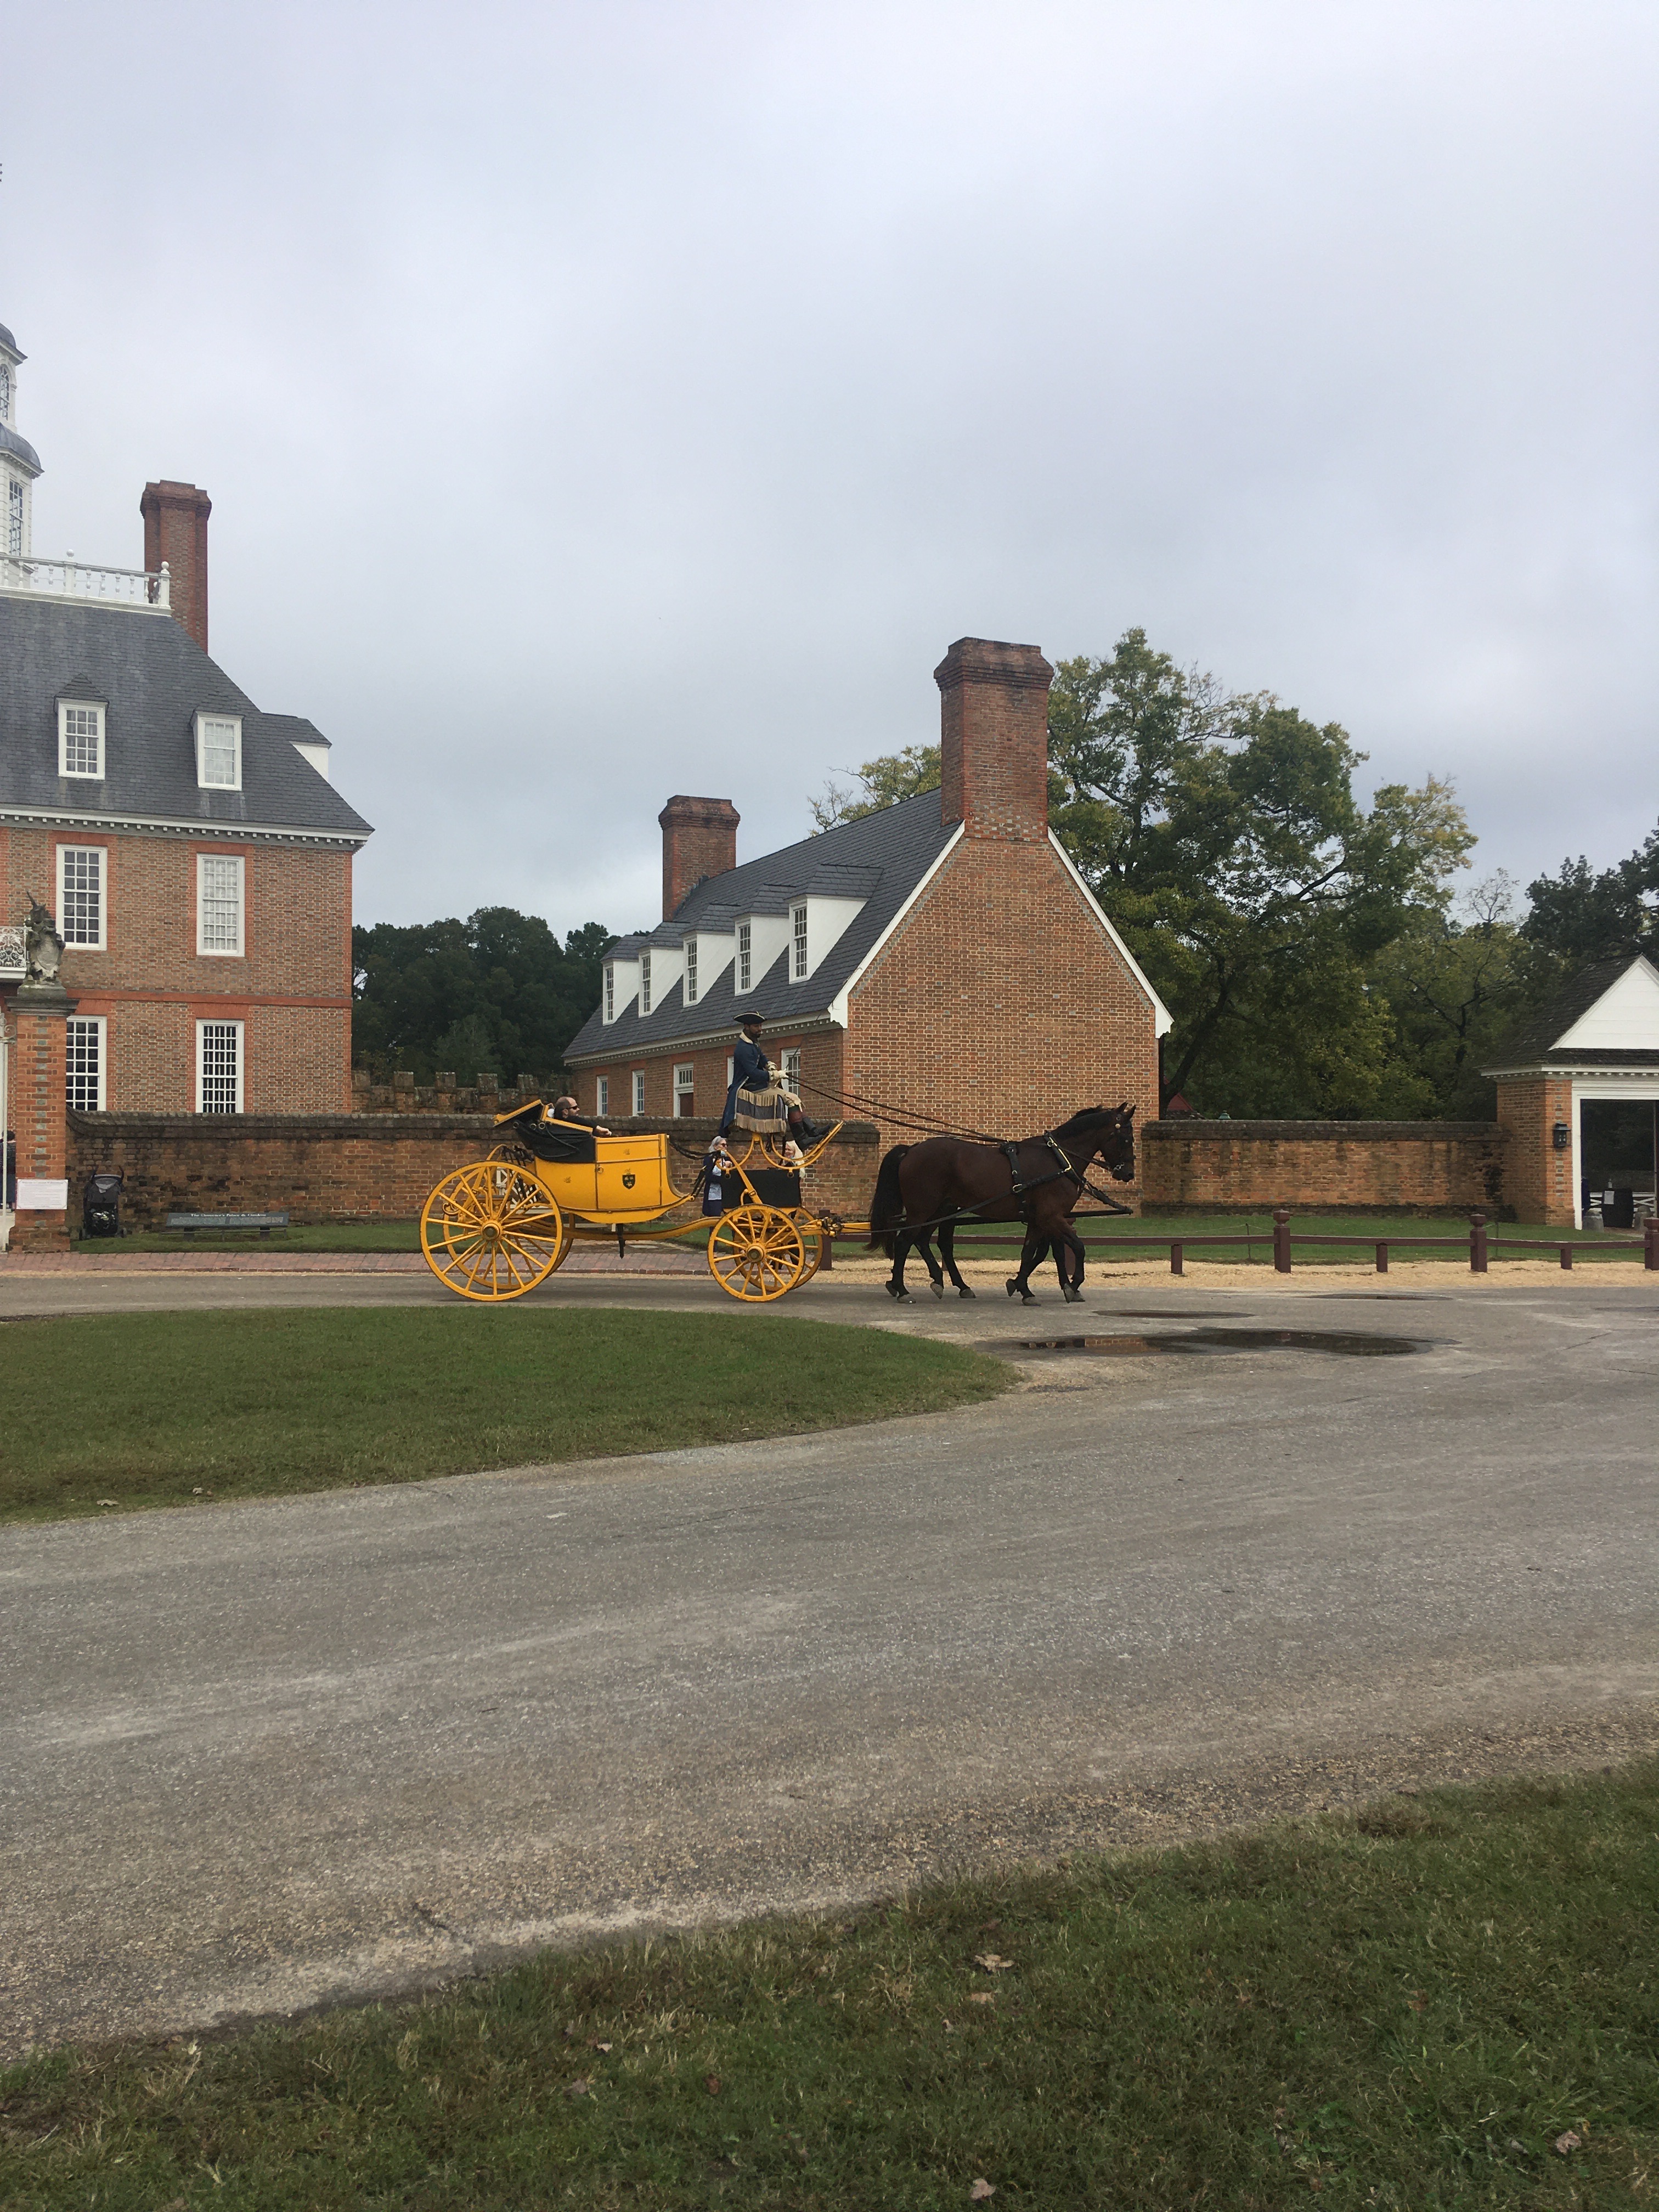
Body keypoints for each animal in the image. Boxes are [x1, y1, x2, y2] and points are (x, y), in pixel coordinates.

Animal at [866, 1104, 1137, 1304]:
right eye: (1125, 1138)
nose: (1128, 1174)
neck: (1058, 1160)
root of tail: (912, 1150)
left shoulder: (1039, 1219)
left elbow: (1030, 1252)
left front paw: (1023, 1288)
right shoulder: (1052, 1217)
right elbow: (1078, 1248)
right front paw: (1074, 1283)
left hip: (941, 1209)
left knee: (924, 1241)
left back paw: (945, 1283)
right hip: (922, 1210)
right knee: (904, 1242)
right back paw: (902, 1289)